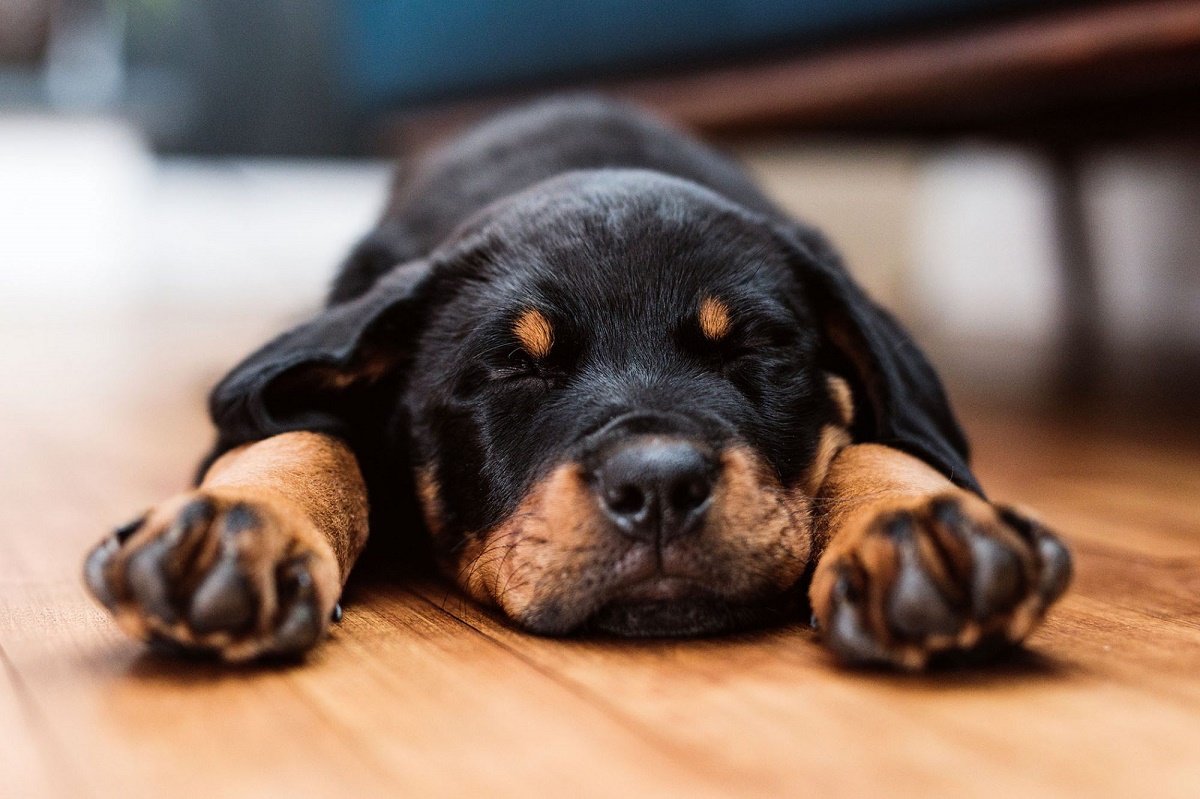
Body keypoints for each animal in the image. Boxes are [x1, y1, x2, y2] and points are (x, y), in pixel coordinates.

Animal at [88, 94, 1075, 667]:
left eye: (754, 350)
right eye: (513, 365)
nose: (660, 486)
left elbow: (878, 444)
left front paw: (925, 528)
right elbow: (300, 434)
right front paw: (231, 529)